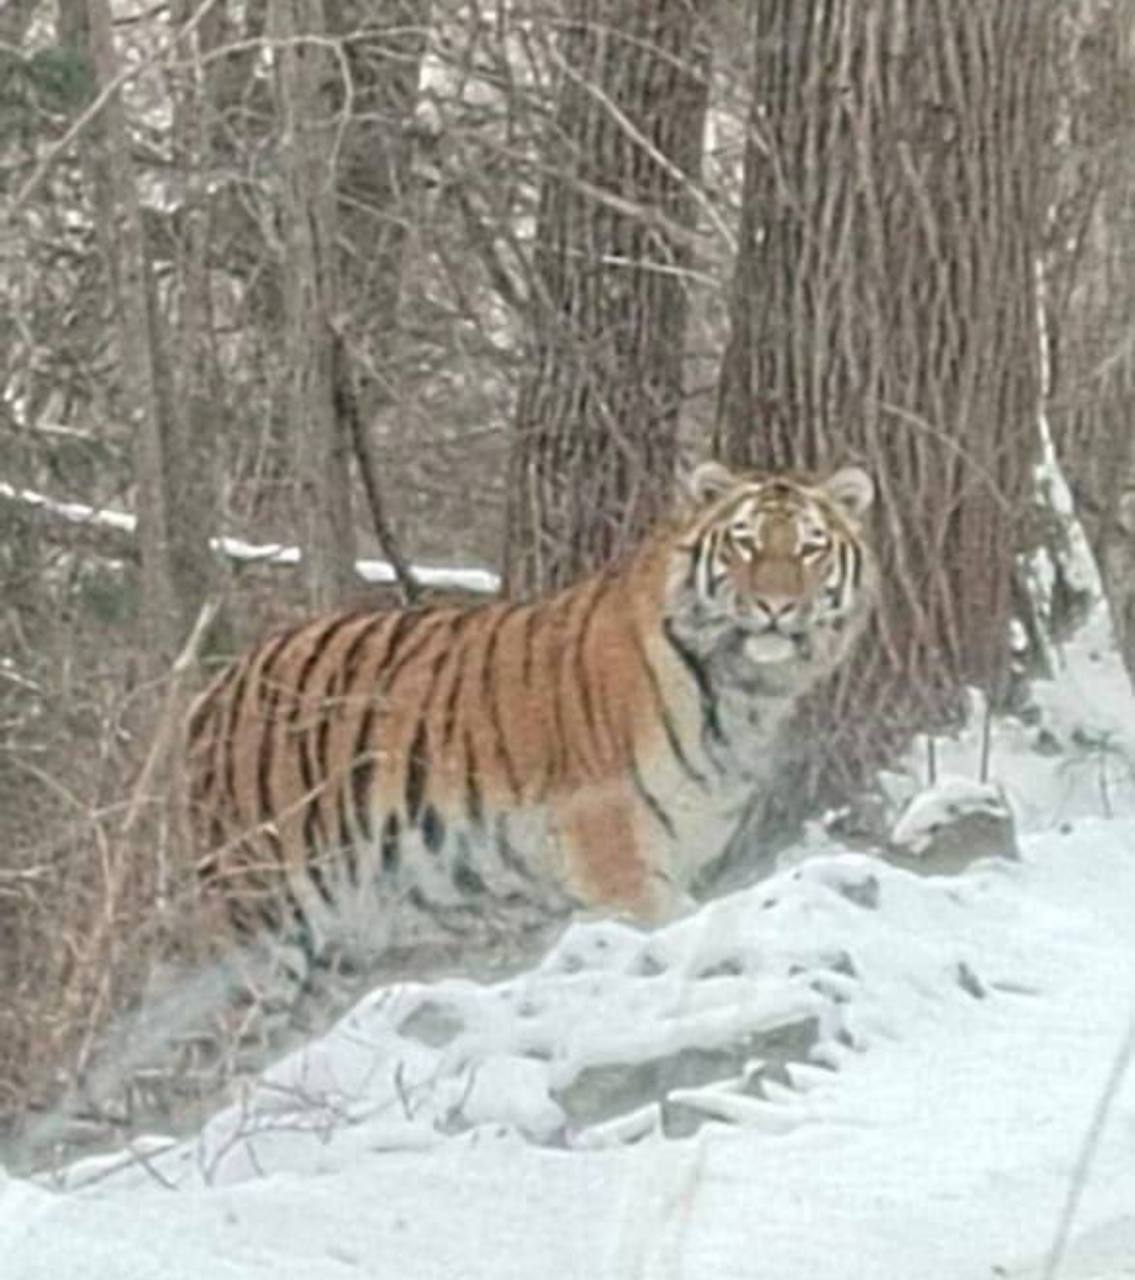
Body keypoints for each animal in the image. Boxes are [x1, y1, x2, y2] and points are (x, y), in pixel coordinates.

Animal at [186, 460, 880, 977]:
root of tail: (217, 686)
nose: (776, 606)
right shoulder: (614, 851)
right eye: (744, 543)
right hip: (259, 916)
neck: (744, 692)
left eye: (811, 549)